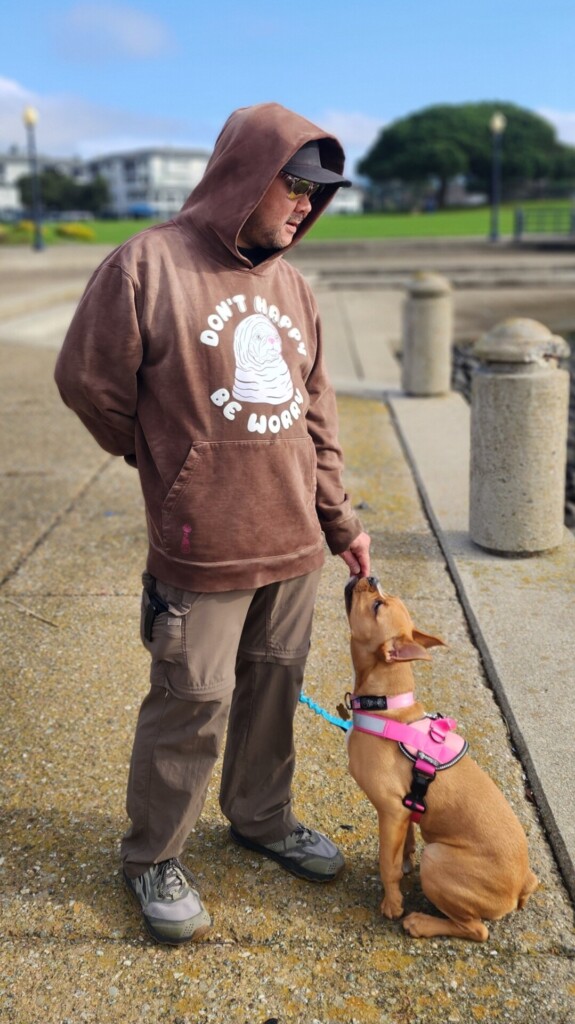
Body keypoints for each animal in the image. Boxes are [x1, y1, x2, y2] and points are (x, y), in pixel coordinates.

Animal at [341, 573, 536, 937]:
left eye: (377, 605)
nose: (369, 575)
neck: (387, 705)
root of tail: (521, 886)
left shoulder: (391, 811)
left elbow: (386, 865)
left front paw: (392, 904)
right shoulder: (404, 811)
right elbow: (402, 847)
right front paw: (404, 864)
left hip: (437, 859)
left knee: (476, 929)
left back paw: (420, 922)